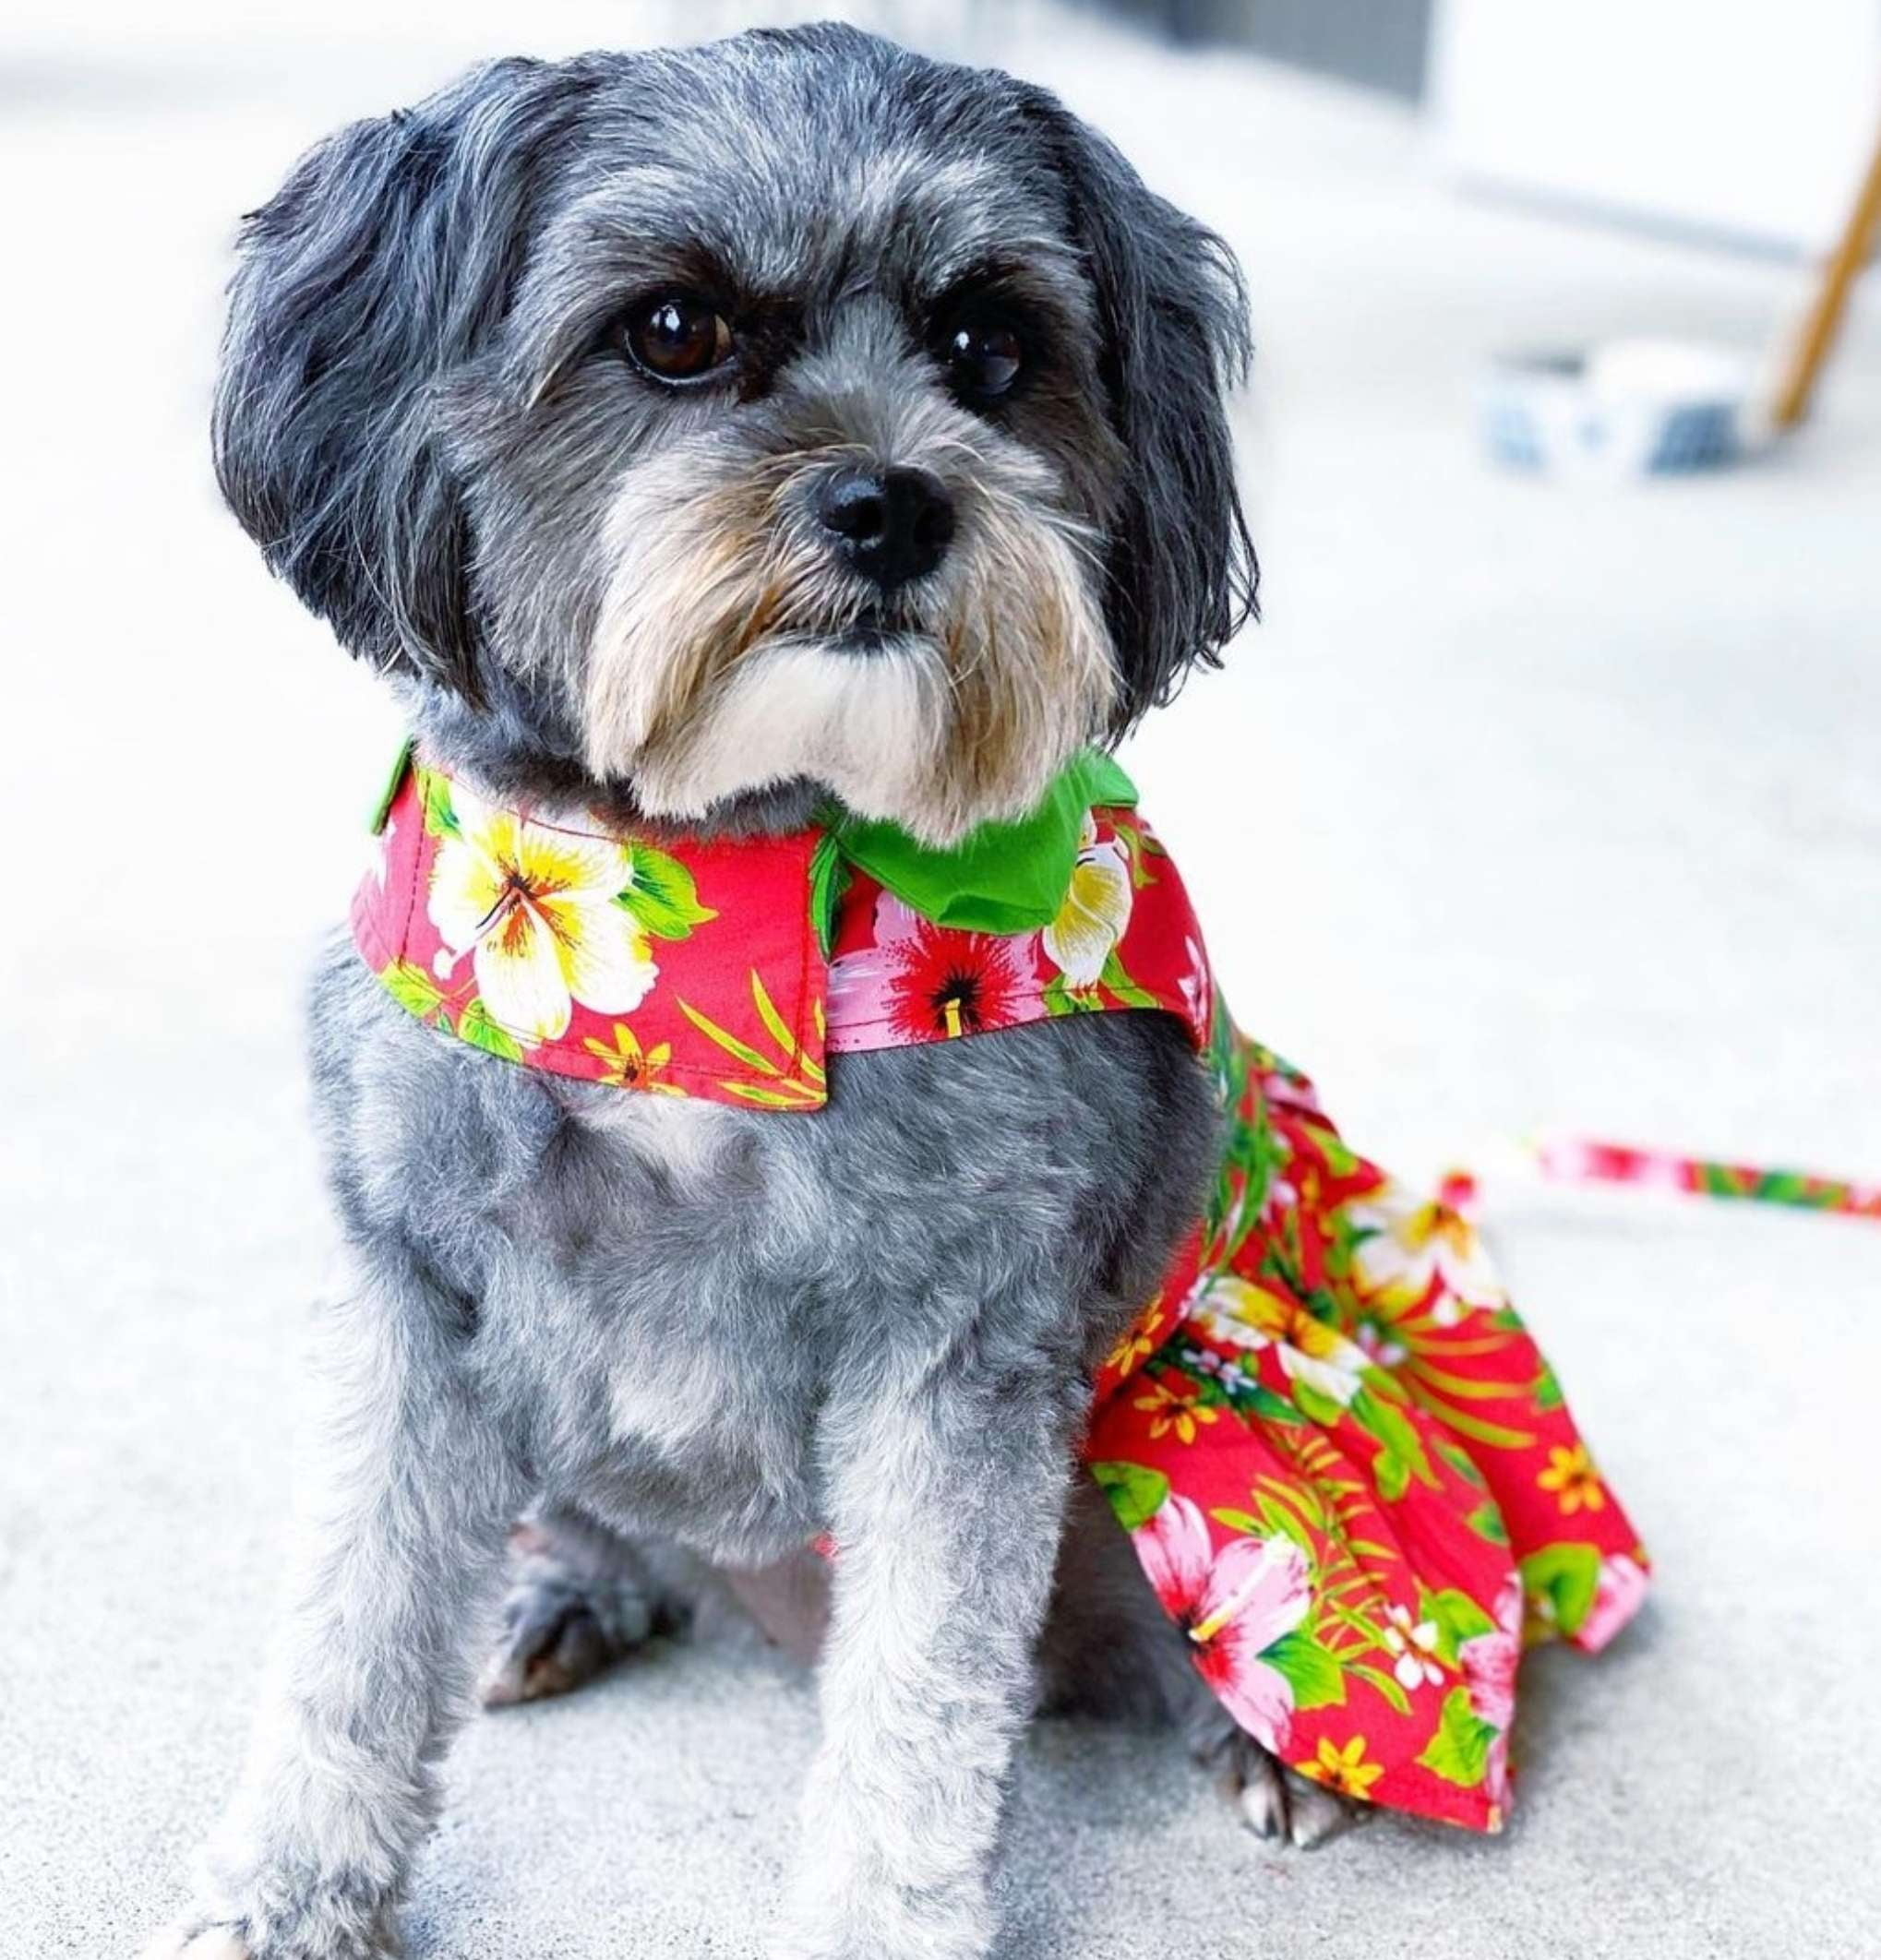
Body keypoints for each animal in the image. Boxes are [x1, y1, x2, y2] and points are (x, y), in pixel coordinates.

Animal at [147, 27, 1348, 1960]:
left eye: (989, 346)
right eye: (672, 332)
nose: (892, 501)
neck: (702, 915)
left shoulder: (958, 1357)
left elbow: (918, 1709)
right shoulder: (413, 1291)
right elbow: (351, 1622)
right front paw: (288, 1887)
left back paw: (1269, 1739)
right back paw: (558, 1586)